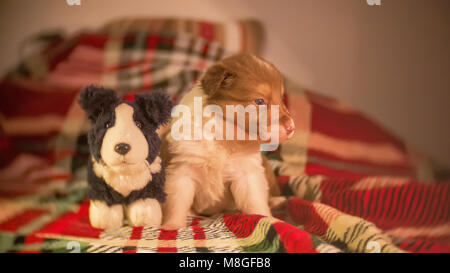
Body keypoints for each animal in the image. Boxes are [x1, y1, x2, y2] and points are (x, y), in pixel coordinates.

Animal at [160, 53, 294, 227]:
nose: (291, 127)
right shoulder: (181, 170)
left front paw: (270, 220)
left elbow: (255, 202)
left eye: (282, 99)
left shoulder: (247, 174)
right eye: (259, 101)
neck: (224, 137)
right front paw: (172, 226)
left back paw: (278, 201)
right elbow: (176, 203)